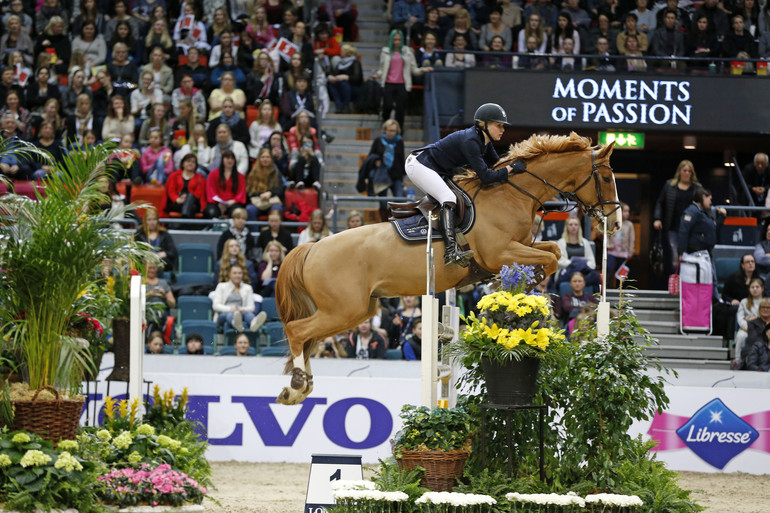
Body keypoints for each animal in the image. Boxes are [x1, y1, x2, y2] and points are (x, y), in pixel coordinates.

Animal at [274, 132, 616, 404]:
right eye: (607, 177)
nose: (612, 223)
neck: (511, 195)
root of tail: (310, 248)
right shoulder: (499, 252)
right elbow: (550, 259)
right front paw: (512, 289)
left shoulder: (518, 247)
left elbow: (553, 252)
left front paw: (520, 286)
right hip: (343, 309)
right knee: (297, 331)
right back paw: (297, 385)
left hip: (356, 311)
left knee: (306, 337)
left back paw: (299, 387)